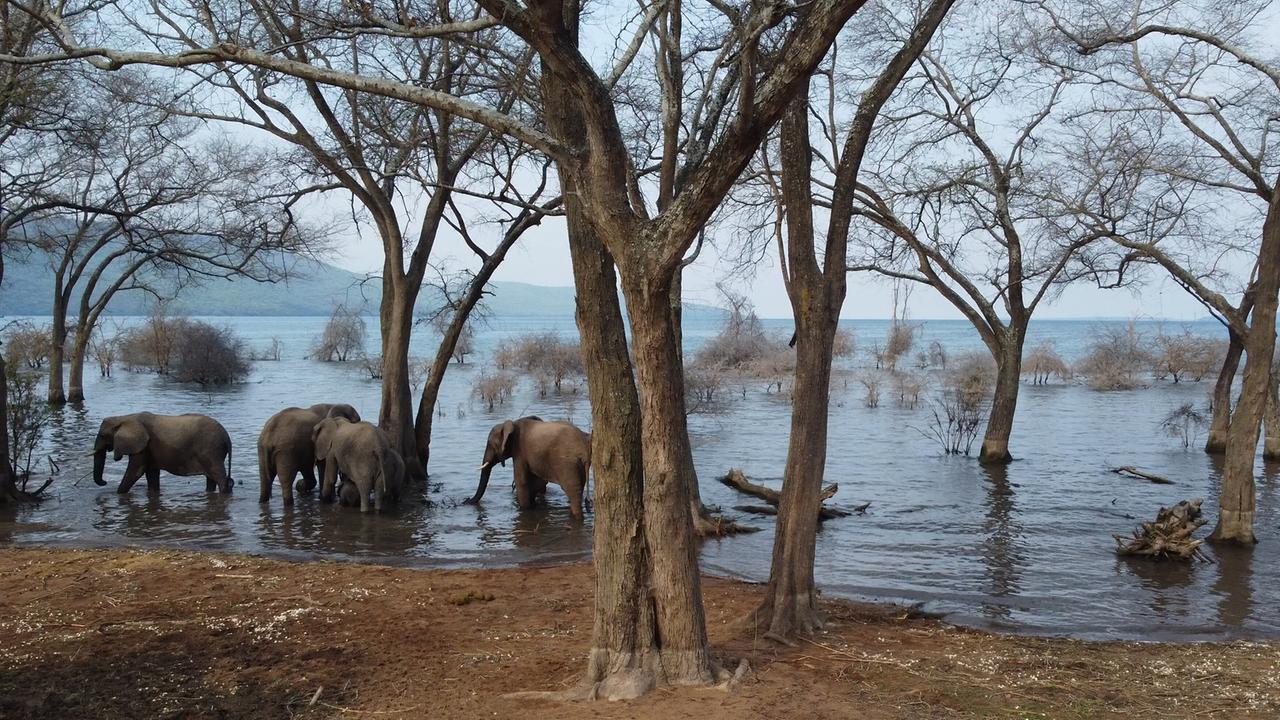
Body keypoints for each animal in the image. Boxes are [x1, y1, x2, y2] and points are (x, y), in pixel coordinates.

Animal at [92, 409, 232, 491]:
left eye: (102, 435)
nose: (104, 482)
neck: (123, 418)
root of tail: (227, 437)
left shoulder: (142, 446)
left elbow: (136, 471)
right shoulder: (148, 448)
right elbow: (151, 474)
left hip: (211, 451)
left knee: (220, 478)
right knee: (211, 479)